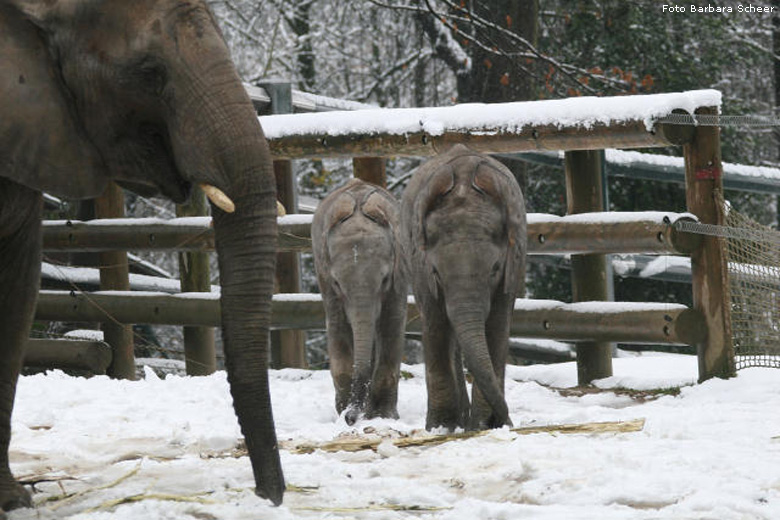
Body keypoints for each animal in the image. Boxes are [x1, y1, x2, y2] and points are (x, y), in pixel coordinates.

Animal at [310, 181, 408, 424]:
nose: (351, 418)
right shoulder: (325, 278)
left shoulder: (398, 275)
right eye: (337, 283)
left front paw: (384, 416)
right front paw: (343, 413)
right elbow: (337, 326)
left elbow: (392, 324)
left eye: (385, 279)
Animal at [402, 143, 524, 430]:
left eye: (494, 270)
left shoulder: (512, 265)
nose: (508, 421)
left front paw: (482, 425)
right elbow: (435, 324)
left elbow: (497, 325)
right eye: (436, 272)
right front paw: (441, 427)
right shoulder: (420, 265)